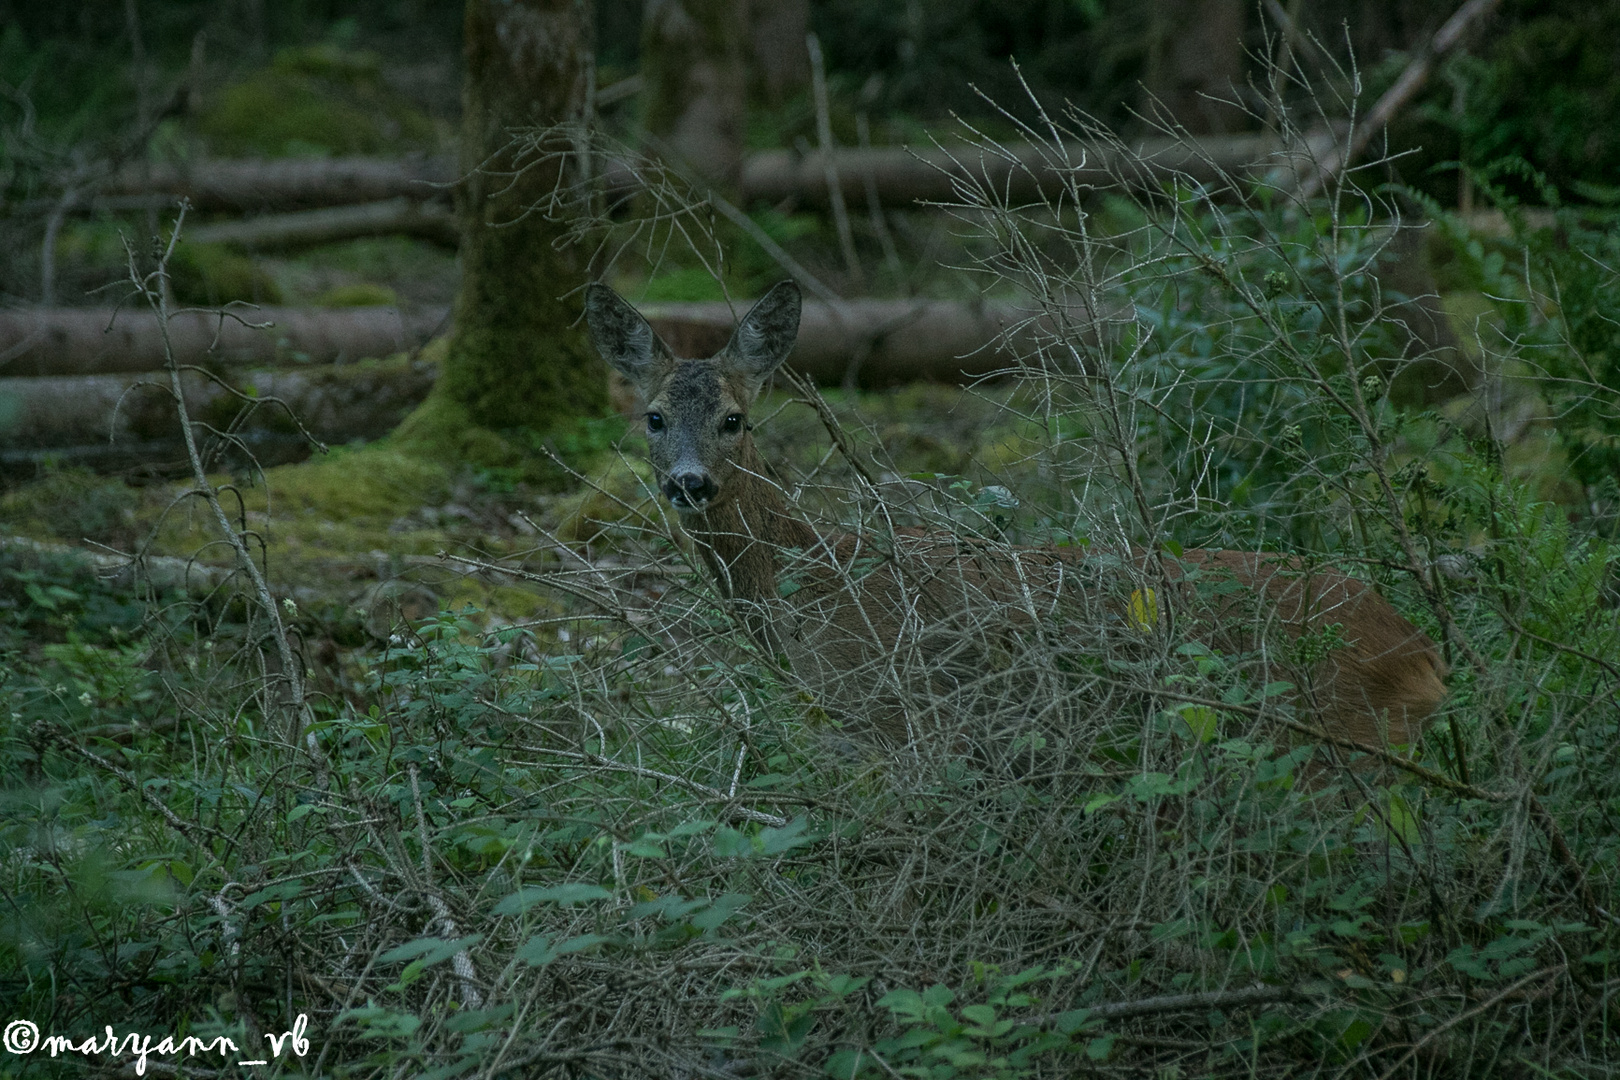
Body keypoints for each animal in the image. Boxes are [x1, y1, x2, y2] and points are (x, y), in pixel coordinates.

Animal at [589, 278, 1451, 751]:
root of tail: (1420, 651)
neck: (814, 582)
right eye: (653, 417)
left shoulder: (896, 722)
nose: (691, 484)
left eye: (735, 418)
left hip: (1338, 737)